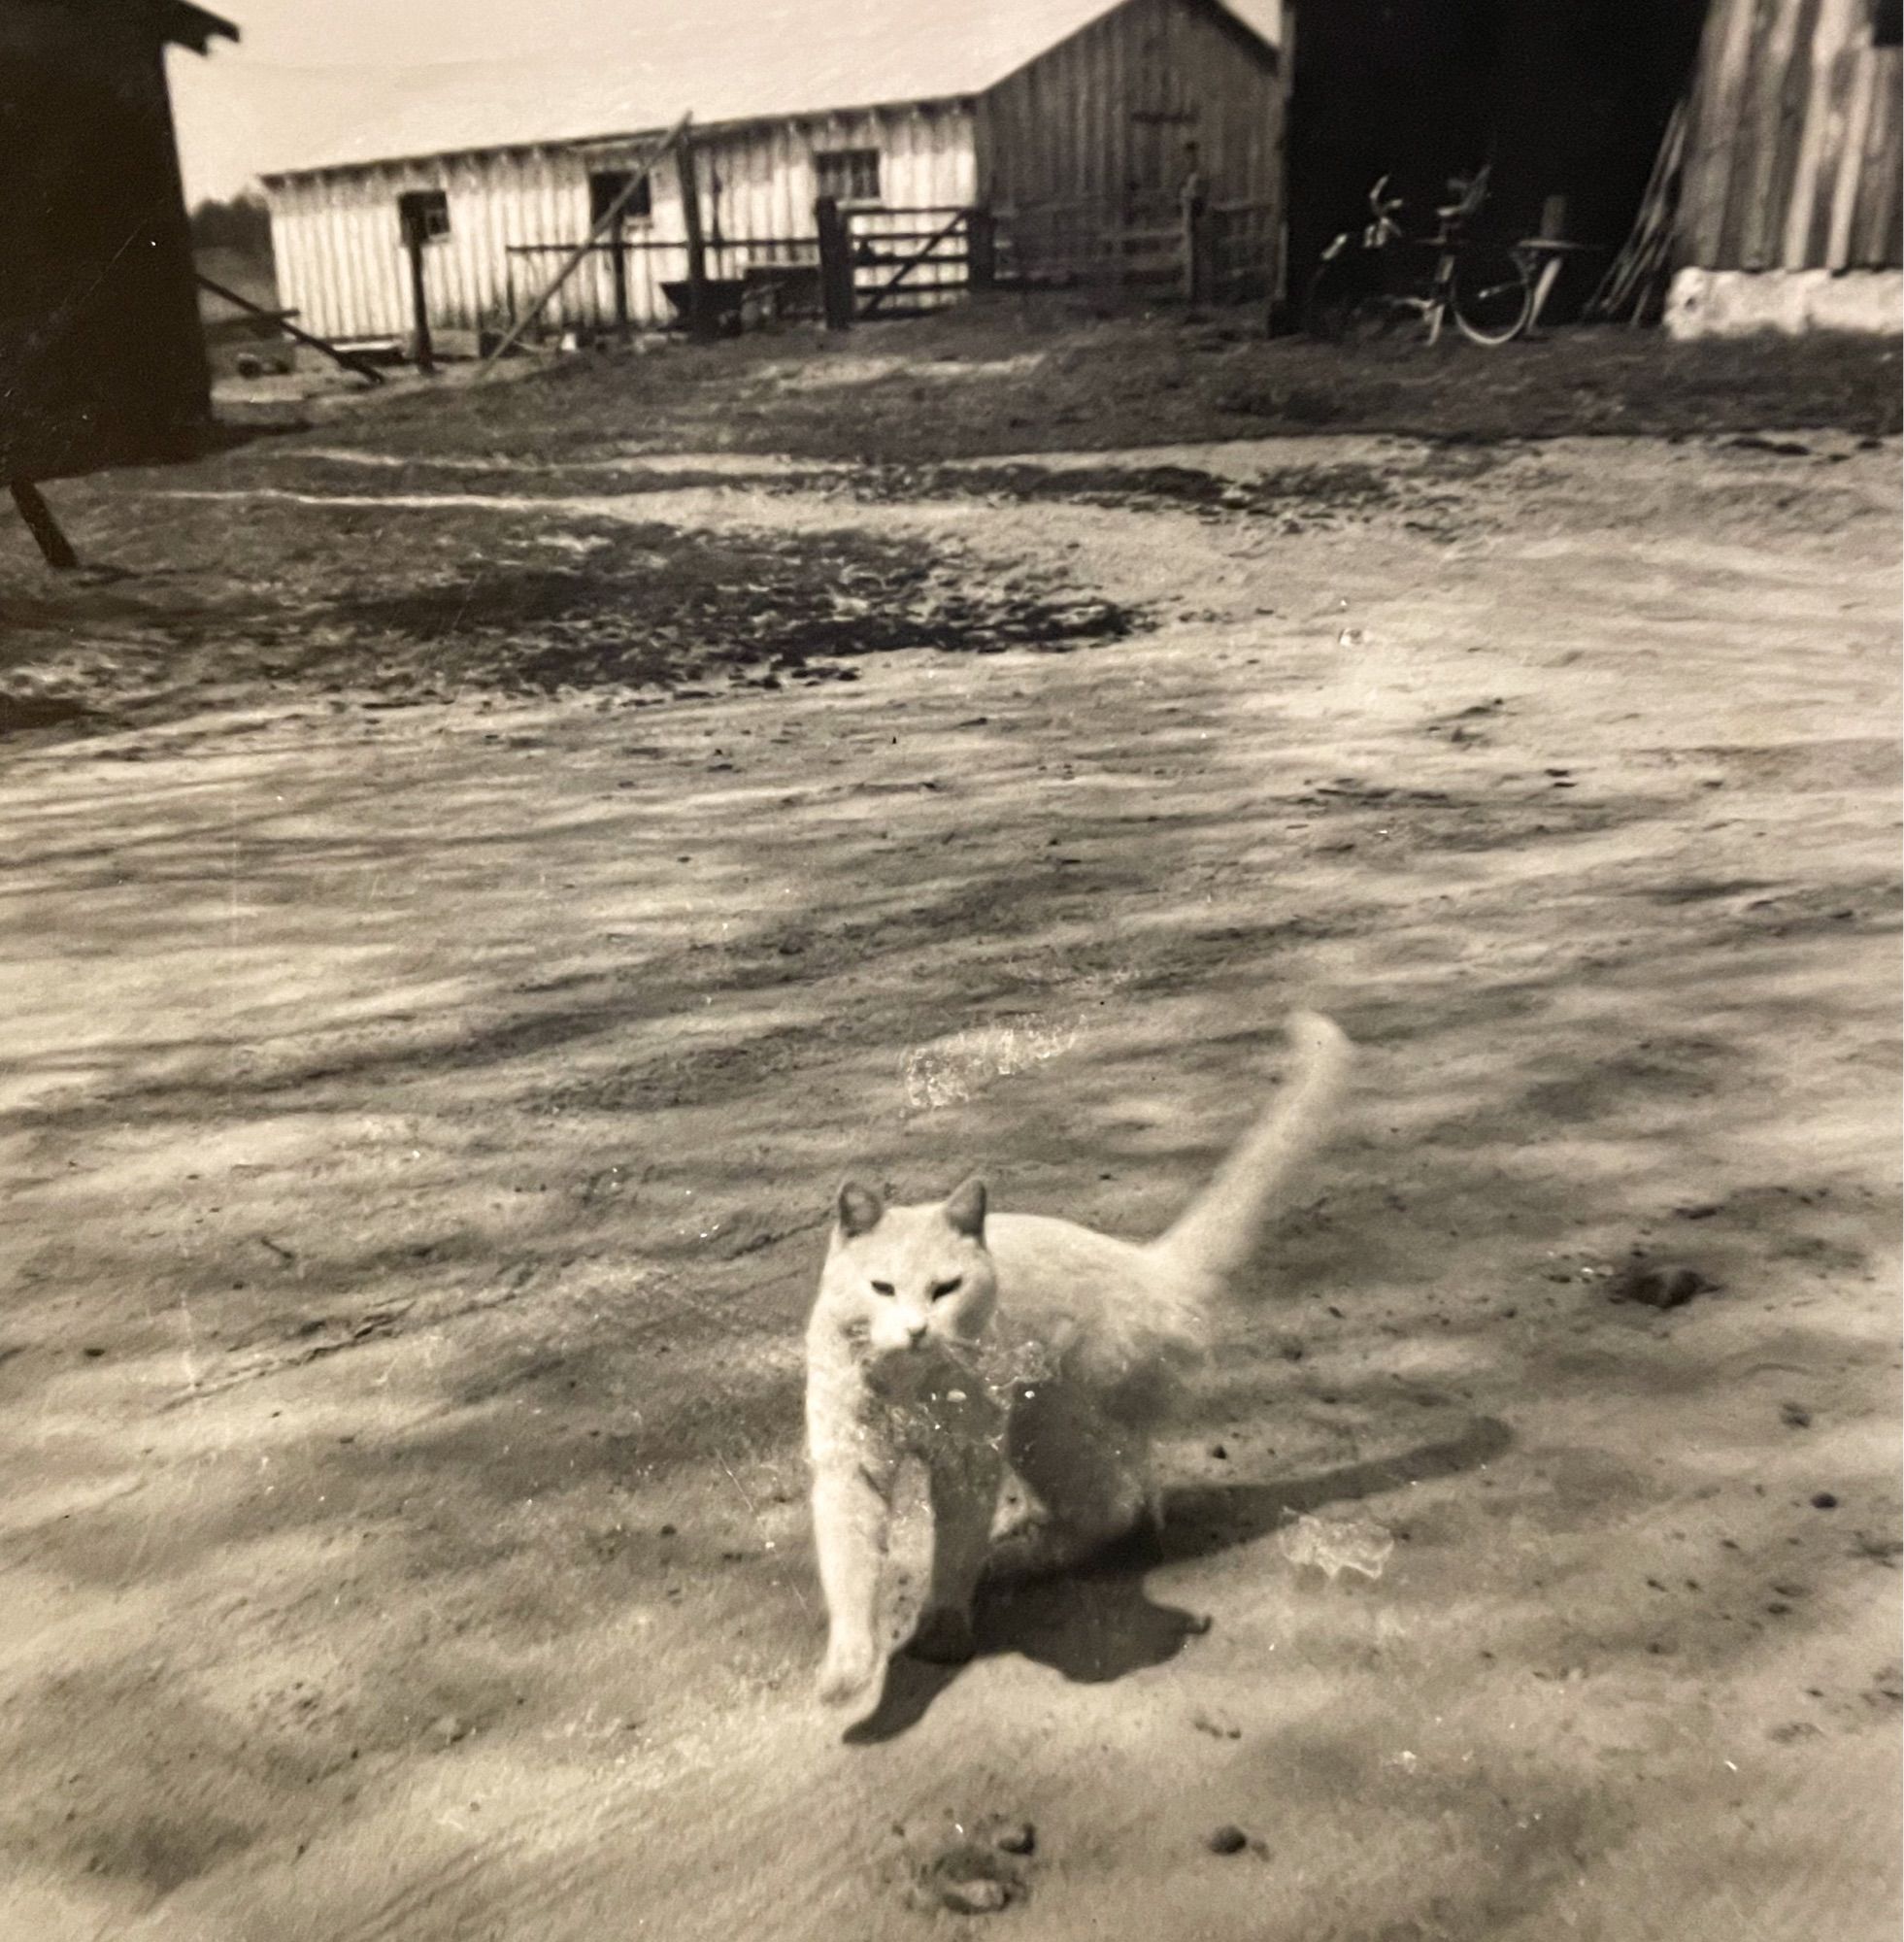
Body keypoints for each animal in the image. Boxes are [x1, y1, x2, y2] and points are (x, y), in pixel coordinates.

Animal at [804, 1010, 1352, 1709]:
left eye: (946, 1289)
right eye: (881, 1288)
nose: (917, 1329)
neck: (908, 1386)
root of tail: (1150, 1268)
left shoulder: (969, 1461)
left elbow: (953, 1551)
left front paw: (944, 1626)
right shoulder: (849, 1462)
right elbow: (847, 1565)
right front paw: (848, 1669)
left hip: (1046, 1423)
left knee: (1115, 1507)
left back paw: (1016, 1556)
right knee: (1137, 1489)